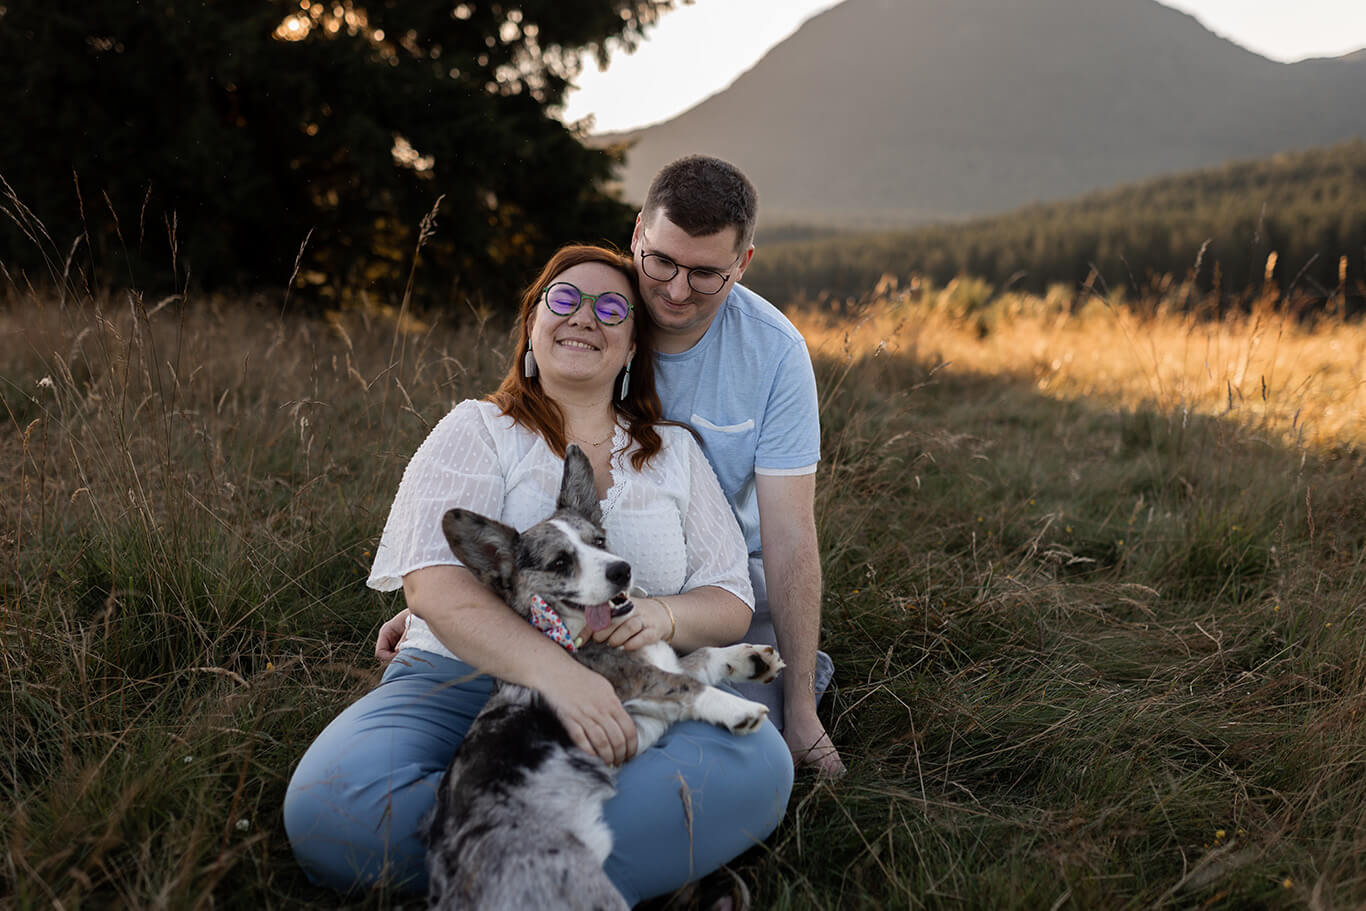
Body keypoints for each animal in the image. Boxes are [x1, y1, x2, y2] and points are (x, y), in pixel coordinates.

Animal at [426, 445, 792, 906]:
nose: (621, 569)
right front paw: (736, 708)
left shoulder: (662, 665)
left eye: (598, 541)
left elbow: (702, 657)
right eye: (560, 562)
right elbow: (687, 684)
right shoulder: (634, 685)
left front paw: (750, 659)